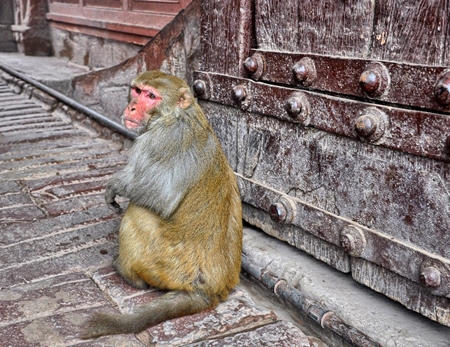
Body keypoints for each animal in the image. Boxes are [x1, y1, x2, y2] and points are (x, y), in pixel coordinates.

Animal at [81, 71, 243, 340]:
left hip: (168, 267)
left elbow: (161, 196)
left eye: (151, 96)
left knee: (137, 212)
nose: (132, 106)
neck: (178, 114)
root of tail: (211, 291)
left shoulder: (161, 139)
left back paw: (127, 274)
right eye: (137, 91)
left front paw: (115, 184)